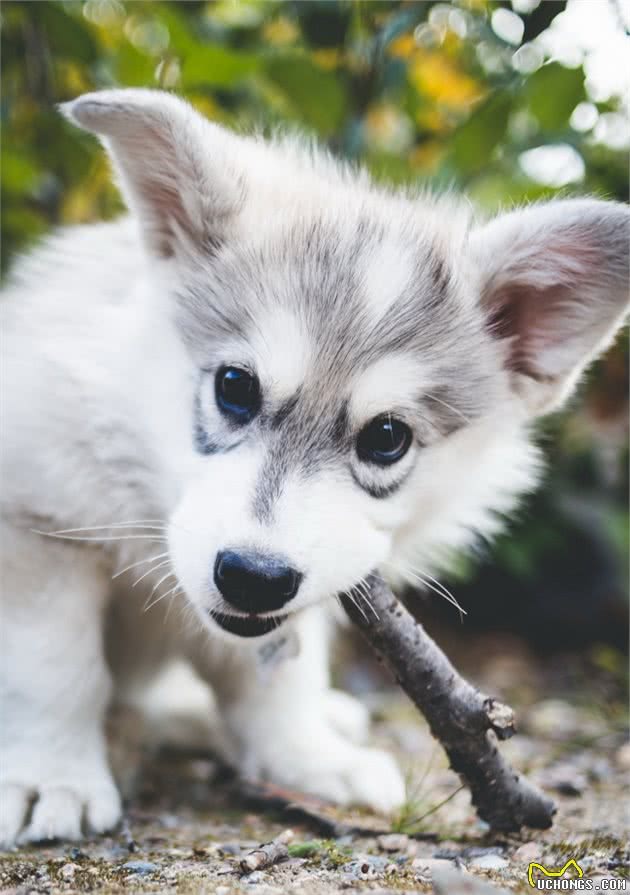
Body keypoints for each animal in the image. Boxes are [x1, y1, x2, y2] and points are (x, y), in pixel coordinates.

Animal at [0, 88, 628, 847]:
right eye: (234, 386)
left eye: (386, 437)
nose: (253, 578)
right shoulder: (37, 525)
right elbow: (55, 667)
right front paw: (49, 775)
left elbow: (280, 674)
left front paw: (303, 757)